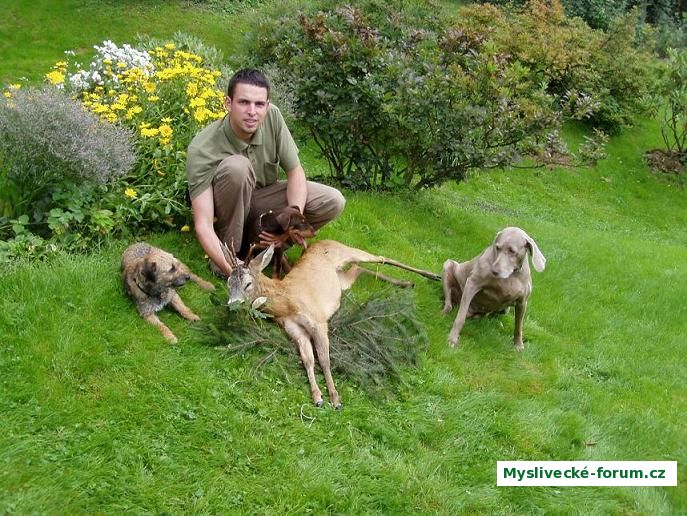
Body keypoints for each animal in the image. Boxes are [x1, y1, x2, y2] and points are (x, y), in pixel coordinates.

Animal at [221, 239, 440, 409]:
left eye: (248, 284)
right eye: (228, 282)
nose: (232, 305)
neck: (286, 301)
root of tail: (321, 241)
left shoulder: (318, 320)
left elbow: (325, 359)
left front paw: (335, 399)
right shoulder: (294, 329)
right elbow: (308, 359)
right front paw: (318, 397)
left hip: (346, 251)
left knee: (381, 258)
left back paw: (431, 276)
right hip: (341, 281)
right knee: (359, 268)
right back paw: (405, 283)